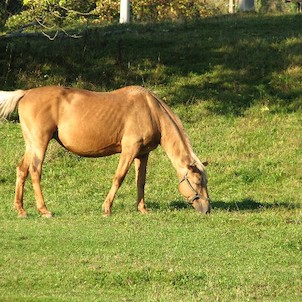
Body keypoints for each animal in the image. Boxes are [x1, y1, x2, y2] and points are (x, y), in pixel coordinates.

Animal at [0, 85, 211, 217]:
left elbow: (140, 182)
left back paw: (21, 210)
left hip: (31, 145)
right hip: (39, 144)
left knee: (22, 170)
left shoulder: (142, 154)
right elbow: (119, 178)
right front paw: (107, 208)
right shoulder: (129, 150)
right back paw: (44, 210)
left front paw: (142, 209)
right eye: (196, 181)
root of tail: (25, 93)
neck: (151, 111)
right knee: (35, 172)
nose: (207, 209)